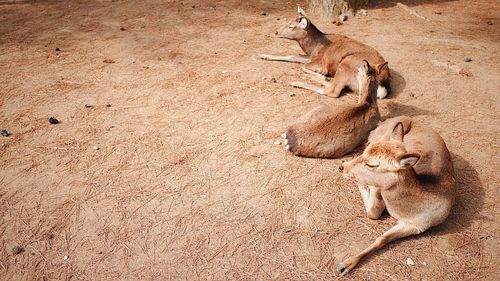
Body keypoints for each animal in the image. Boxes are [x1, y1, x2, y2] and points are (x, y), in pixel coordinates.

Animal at [260, 7, 392, 99]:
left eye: (291, 26)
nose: (276, 32)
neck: (313, 48)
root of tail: (383, 82)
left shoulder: (319, 62)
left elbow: (304, 67)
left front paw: (322, 74)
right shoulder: (310, 57)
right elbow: (292, 56)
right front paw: (263, 55)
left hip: (347, 63)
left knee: (333, 91)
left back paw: (299, 82)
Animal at [338, 115, 456, 274]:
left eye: (372, 164)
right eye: (365, 153)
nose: (342, 167)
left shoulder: (417, 225)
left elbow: (381, 238)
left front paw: (345, 265)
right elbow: (373, 212)